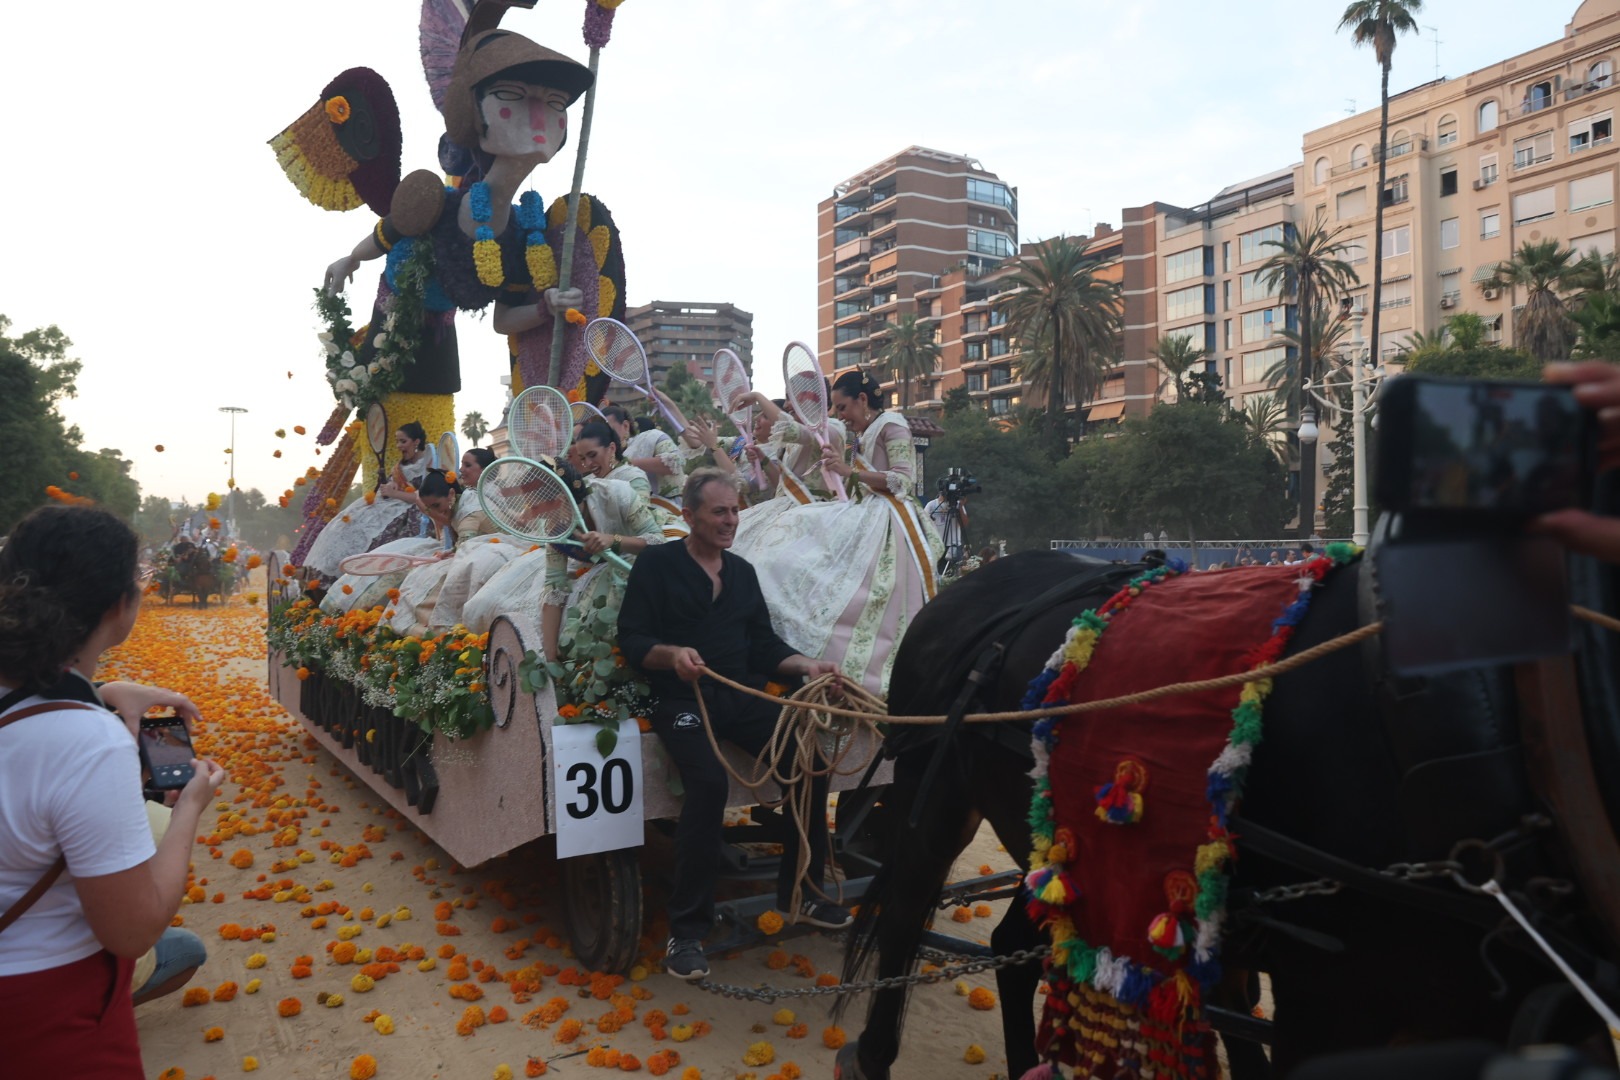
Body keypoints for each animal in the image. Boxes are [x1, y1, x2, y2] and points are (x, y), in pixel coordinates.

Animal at [835, 553, 1620, 1075]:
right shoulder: (1336, 1003)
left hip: (1057, 845)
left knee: (1011, 946)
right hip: (936, 795)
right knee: (904, 913)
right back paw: (870, 1052)